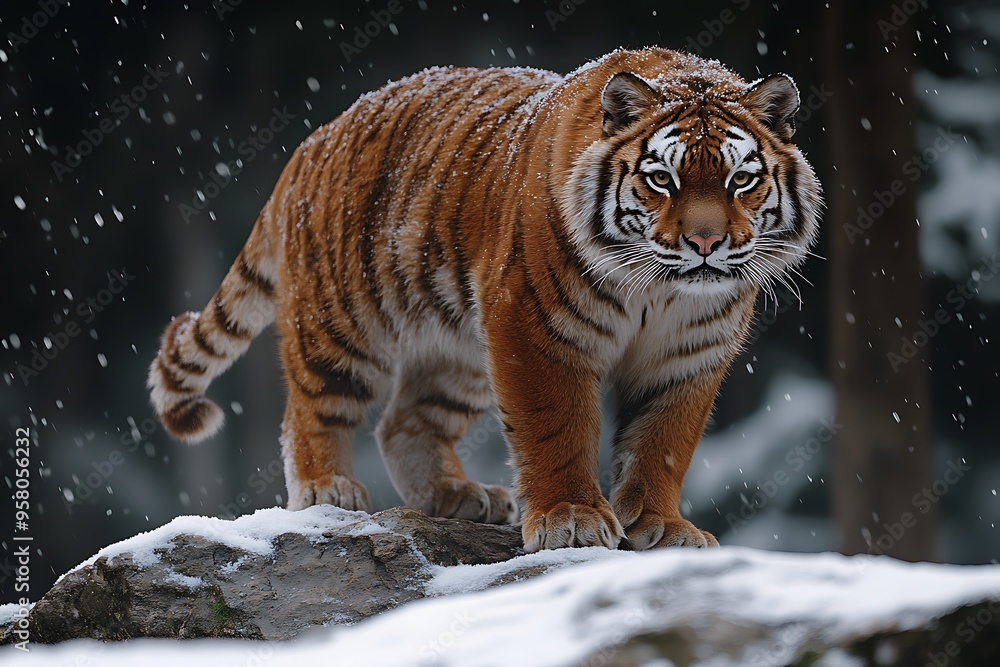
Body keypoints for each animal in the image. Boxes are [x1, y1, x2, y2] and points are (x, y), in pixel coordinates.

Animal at [148, 47, 821, 552]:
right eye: (663, 179)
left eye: (741, 179)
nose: (706, 241)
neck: (660, 291)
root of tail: (312, 143)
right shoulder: (535, 326)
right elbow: (558, 426)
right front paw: (572, 519)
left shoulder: (689, 355)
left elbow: (664, 444)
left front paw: (663, 527)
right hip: (341, 322)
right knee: (312, 411)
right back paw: (327, 490)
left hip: (459, 349)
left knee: (404, 421)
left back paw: (461, 499)